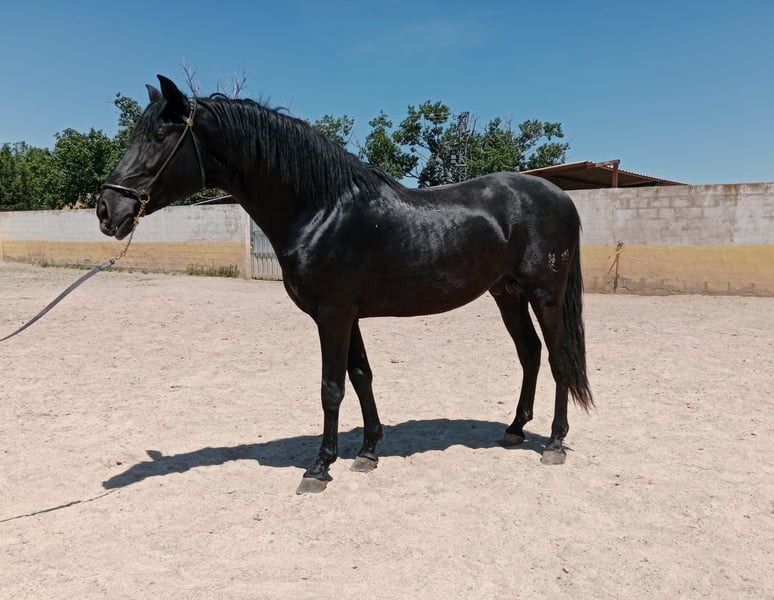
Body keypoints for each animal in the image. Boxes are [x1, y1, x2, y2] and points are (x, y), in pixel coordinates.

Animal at [96, 75, 593, 494]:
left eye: (160, 137)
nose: (106, 209)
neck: (322, 209)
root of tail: (560, 195)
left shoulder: (332, 315)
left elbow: (330, 387)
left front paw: (319, 467)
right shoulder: (347, 315)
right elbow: (361, 376)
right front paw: (368, 451)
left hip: (544, 294)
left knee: (558, 359)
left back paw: (553, 443)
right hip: (507, 293)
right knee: (529, 352)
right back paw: (514, 429)